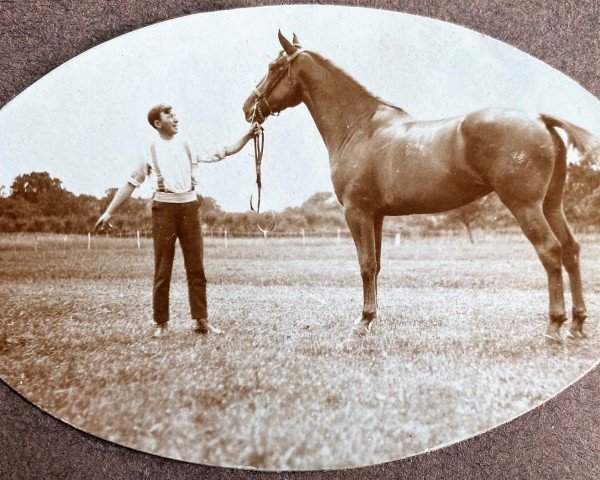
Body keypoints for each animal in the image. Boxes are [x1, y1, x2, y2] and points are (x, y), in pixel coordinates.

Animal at [241, 31, 596, 342]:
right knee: (571, 250)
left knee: (550, 251)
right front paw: (372, 319)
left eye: (272, 67)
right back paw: (577, 325)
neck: (359, 127)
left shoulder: (357, 212)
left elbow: (365, 265)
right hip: (551, 205)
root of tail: (540, 119)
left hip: (525, 206)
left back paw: (554, 327)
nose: (247, 108)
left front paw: (362, 323)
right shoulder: (376, 215)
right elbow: (377, 265)